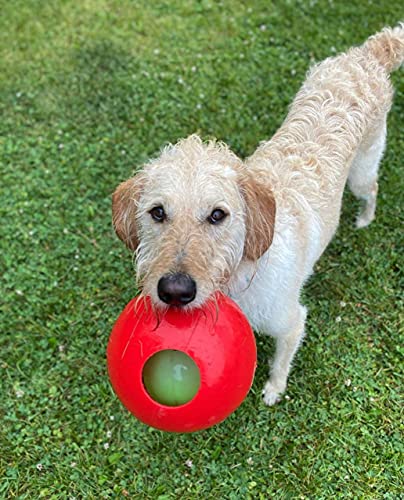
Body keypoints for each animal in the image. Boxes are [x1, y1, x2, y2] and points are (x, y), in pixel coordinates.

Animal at [111, 25, 404, 404]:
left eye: (218, 215)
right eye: (157, 212)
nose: (175, 291)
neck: (239, 273)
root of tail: (367, 53)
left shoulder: (292, 322)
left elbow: (281, 360)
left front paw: (273, 390)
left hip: (362, 172)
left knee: (373, 190)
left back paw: (365, 220)